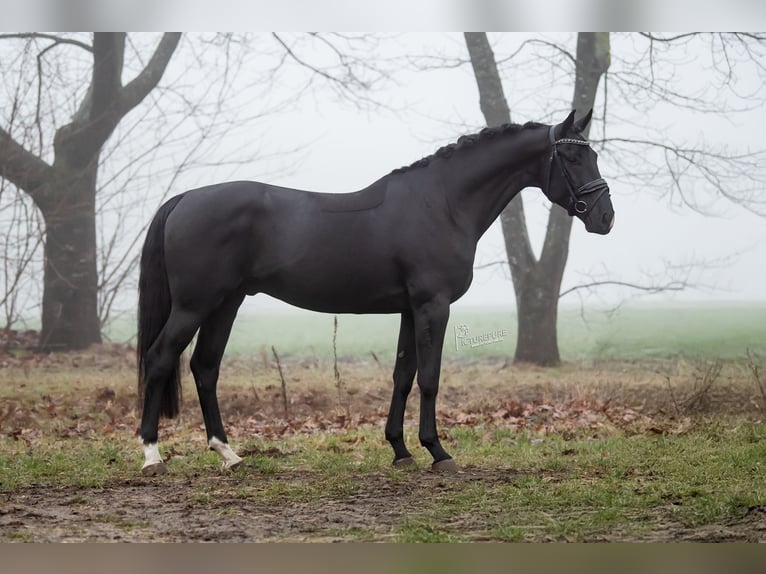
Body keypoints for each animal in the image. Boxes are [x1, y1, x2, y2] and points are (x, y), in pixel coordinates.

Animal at [136, 109, 614, 476]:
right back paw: (152, 455)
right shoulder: (432, 306)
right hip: (194, 305)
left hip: (226, 303)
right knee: (160, 358)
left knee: (205, 367)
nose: (605, 217)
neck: (442, 203)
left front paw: (401, 451)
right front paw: (438, 452)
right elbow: (429, 378)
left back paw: (228, 454)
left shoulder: (409, 310)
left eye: (591, 153)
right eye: (572, 155)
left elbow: (402, 376)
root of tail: (183, 199)